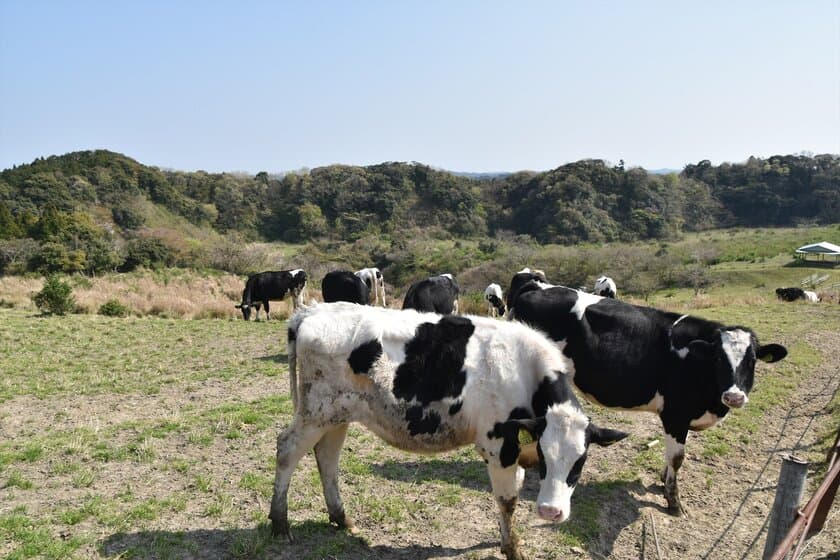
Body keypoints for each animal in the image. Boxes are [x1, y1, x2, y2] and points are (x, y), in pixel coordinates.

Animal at [272, 304, 628, 556]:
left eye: (580, 462)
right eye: (546, 455)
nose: (550, 511)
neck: (524, 370)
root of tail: (311, 312)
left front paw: (505, 541)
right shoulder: (498, 445)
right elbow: (507, 500)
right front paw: (513, 549)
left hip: (336, 415)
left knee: (327, 457)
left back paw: (341, 517)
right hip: (315, 412)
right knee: (288, 448)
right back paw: (279, 523)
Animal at [508, 288, 792, 516]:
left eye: (752, 360)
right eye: (719, 358)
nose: (734, 396)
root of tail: (533, 290)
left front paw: (663, 480)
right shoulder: (676, 415)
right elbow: (677, 458)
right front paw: (674, 502)